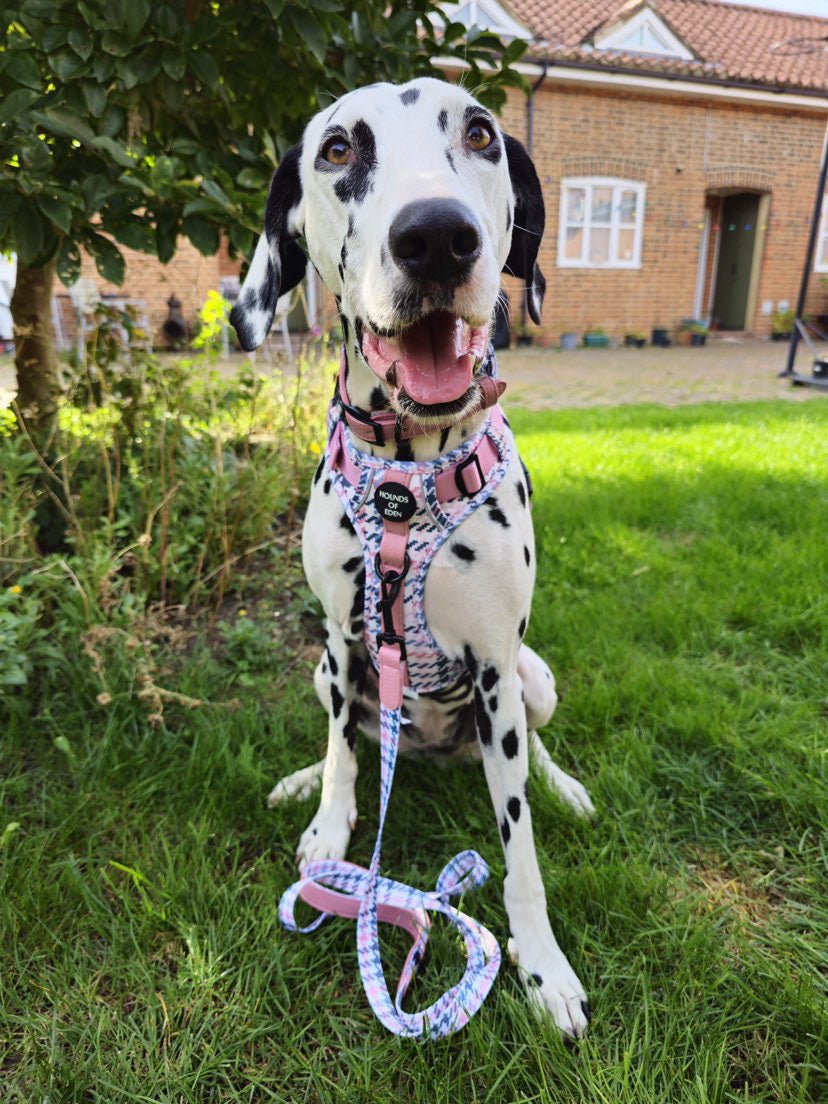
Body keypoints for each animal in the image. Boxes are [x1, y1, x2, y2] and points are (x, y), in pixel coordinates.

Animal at [231, 80, 596, 1042]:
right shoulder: (340, 638)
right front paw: (328, 820)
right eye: (336, 149)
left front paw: (543, 968)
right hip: (325, 669)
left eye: (480, 134)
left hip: (534, 678)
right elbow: (342, 756)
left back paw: (565, 787)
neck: (406, 474)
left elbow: (521, 851)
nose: (435, 235)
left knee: (536, 752)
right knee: (349, 738)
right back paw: (307, 782)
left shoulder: (498, 670)